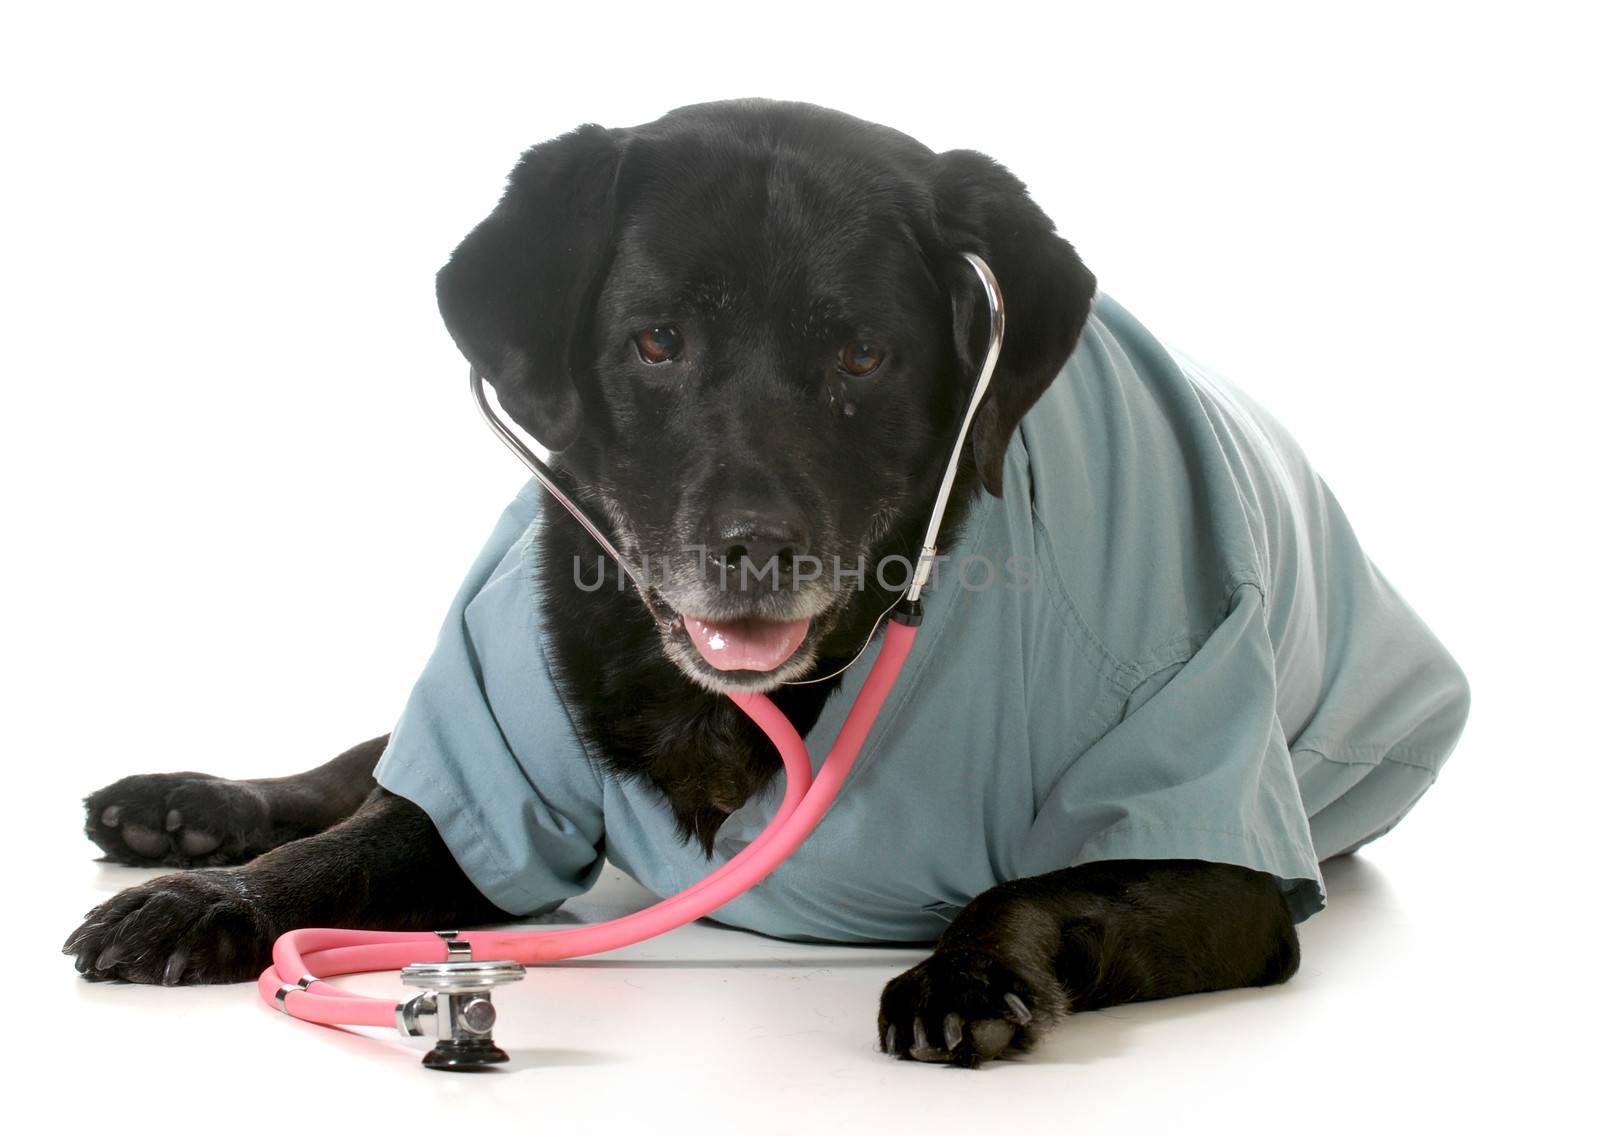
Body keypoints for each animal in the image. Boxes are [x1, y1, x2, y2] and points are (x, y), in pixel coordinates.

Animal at [65, 98, 1312, 1068]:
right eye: (657, 341)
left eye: (863, 354)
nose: (753, 545)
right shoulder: (474, 775)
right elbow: (346, 845)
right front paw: (217, 897)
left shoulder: (1225, 869)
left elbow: (1032, 889)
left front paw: (963, 971)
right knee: (362, 767)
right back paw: (184, 810)